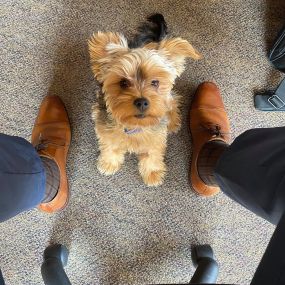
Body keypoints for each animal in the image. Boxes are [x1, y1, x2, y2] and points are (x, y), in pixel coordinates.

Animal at [88, 13, 200, 186]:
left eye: (155, 82)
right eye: (123, 83)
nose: (141, 102)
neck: (136, 126)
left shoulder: (157, 140)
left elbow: (152, 155)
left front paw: (153, 173)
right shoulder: (105, 132)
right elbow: (110, 147)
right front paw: (108, 163)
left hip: (169, 99)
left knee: (173, 101)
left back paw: (173, 122)